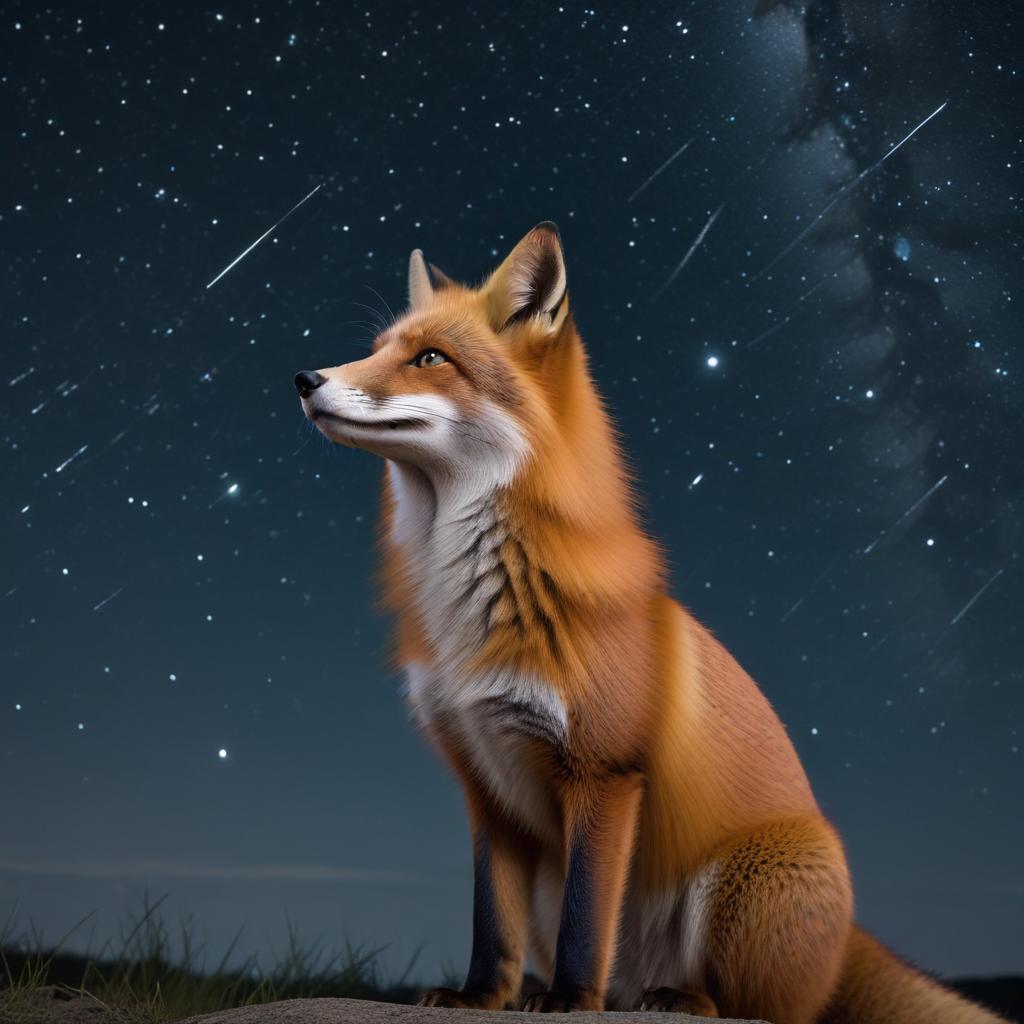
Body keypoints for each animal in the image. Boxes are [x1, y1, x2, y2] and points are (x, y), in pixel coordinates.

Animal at [295, 222, 1008, 1024]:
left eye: (429, 359)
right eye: (378, 348)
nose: (305, 379)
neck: (472, 614)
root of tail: (849, 938)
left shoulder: (605, 772)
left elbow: (585, 920)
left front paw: (571, 1000)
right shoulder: (486, 786)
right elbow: (490, 922)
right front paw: (481, 997)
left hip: (742, 878)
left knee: (748, 1006)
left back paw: (673, 997)